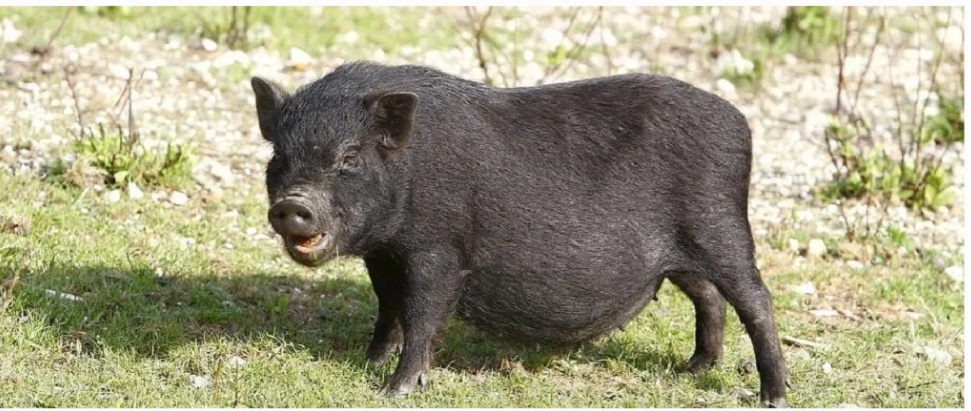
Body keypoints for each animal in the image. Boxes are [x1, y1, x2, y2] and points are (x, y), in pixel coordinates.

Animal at [250, 61, 789, 407]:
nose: (293, 204)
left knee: (755, 300)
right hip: (679, 252)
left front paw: (393, 390)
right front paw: (367, 363)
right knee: (707, 295)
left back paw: (773, 397)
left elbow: (421, 313)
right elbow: (389, 308)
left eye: (349, 157)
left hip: (721, 226)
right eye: (279, 155)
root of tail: (741, 122)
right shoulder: (382, 254)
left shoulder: (437, 250)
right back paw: (694, 368)